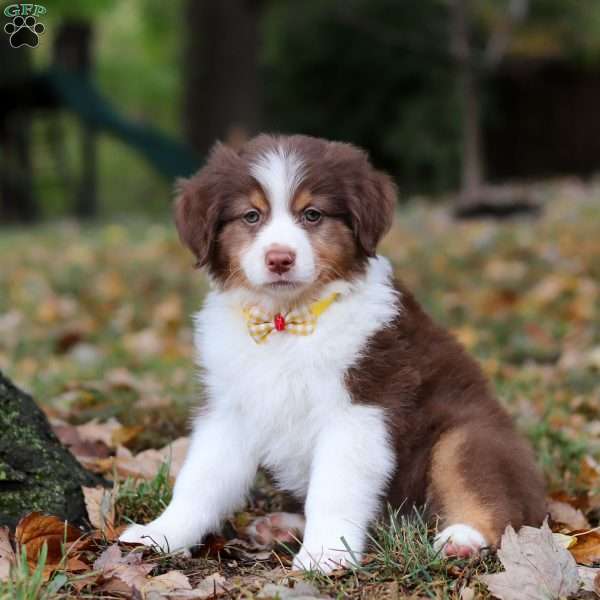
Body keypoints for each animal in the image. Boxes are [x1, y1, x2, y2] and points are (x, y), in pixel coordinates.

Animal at [119, 135, 548, 572]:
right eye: (251, 216)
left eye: (312, 215)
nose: (279, 259)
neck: (286, 320)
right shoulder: (230, 408)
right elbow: (200, 479)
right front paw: (160, 534)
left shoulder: (358, 409)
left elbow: (335, 487)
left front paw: (325, 554)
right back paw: (283, 525)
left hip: (466, 435)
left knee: (494, 500)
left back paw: (462, 539)